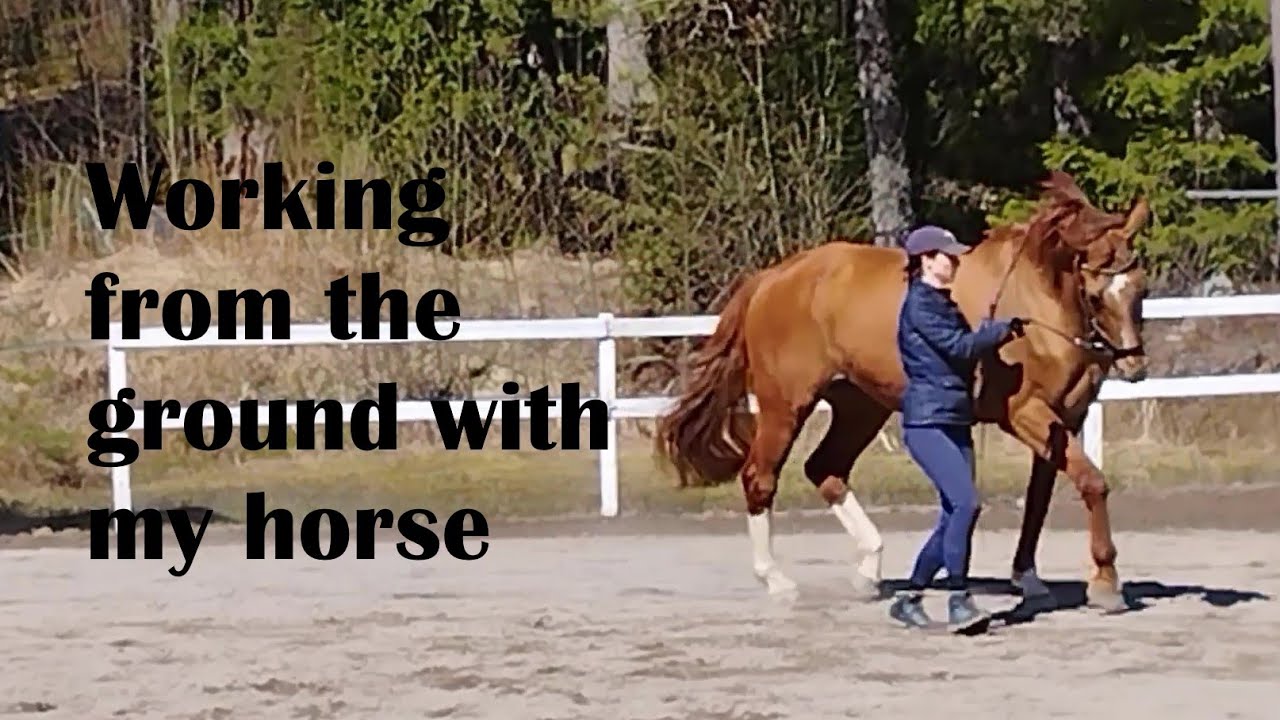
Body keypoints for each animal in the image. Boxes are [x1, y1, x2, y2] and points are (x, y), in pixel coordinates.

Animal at [653, 170, 1150, 613]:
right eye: (1095, 292)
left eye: (1139, 287)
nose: (1134, 364)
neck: (1037, 303)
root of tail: (772, 278)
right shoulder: (1026, 414)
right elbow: (1092, 483)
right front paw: (1106, 584)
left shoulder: (1063, 420)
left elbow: (1040, 500)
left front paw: (1028, 579)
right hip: (785, 406)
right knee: (761, 477)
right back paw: (777, 581)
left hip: (860, 406)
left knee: (825, 468)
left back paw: (868, 571)